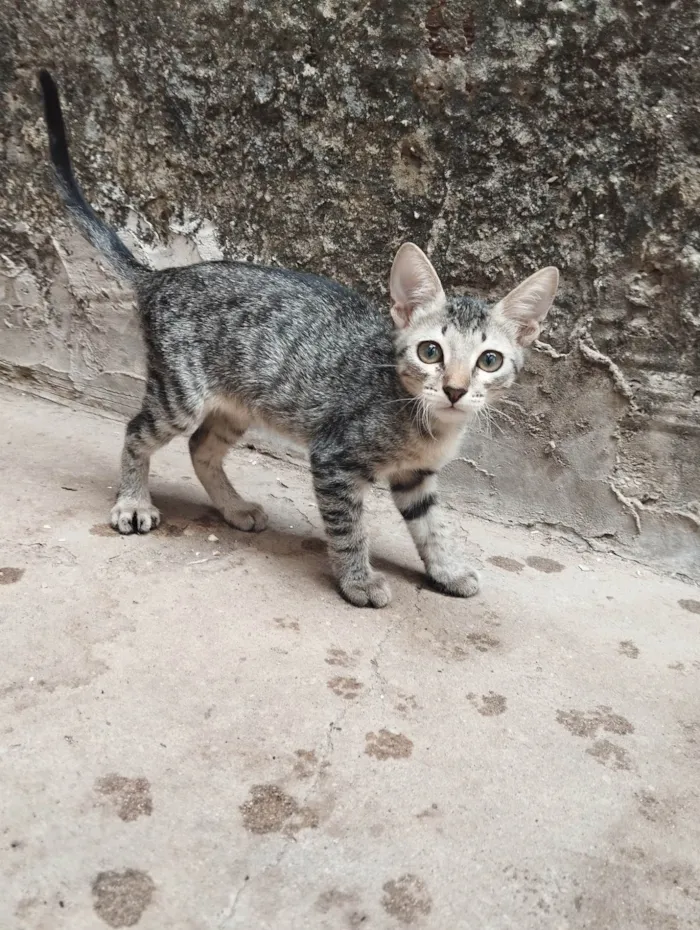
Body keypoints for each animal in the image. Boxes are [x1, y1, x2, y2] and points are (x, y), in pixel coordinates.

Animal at [41, 72, 560, 608]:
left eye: (489, 360)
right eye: (430, 351)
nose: (456, 389)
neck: (428, 422)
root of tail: (161, 276)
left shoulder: (416, 478)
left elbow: (433, 527)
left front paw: (447, 570)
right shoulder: (334, 459)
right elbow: (349, 529)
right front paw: (359, 580)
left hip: (237, 405)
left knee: (202, 448)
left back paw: (233, 508)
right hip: (179, 395)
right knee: (136, 432)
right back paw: (132, 502)